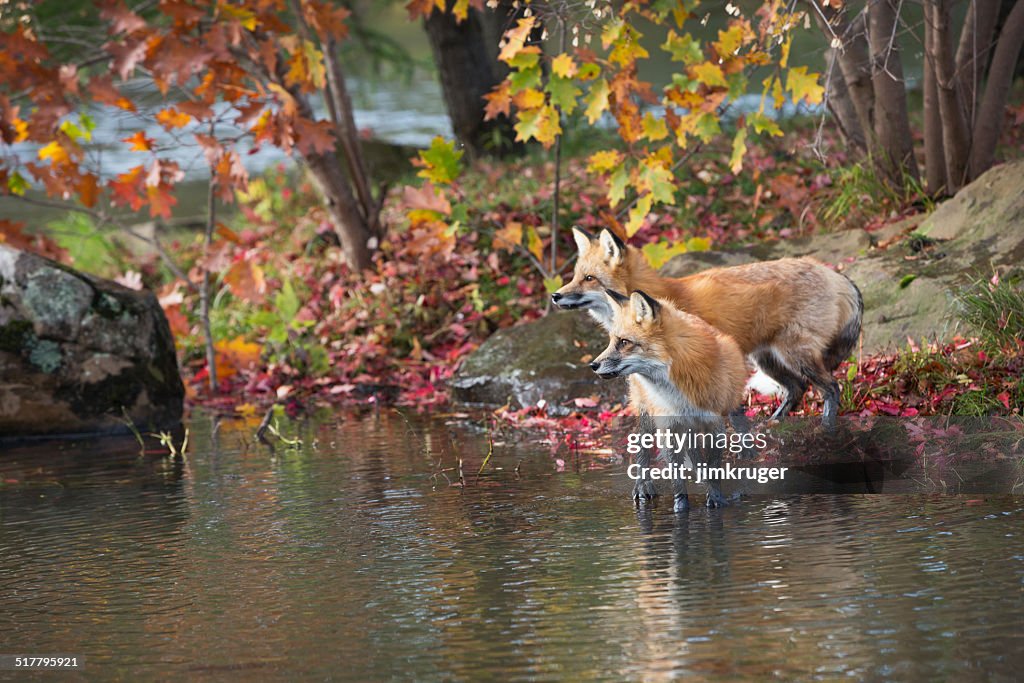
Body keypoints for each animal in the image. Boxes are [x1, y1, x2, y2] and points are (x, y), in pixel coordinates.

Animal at [557, 227, 860, 423]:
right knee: (797, 388)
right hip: (767, 358)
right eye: (574, 276)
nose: (555, 295)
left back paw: (827, 426)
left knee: (830, 387)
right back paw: (774, 422)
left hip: (795, 354)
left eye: (588, 278)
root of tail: (831, 271)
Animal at [589, 290, 749, 511]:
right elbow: (677, 477)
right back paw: (642, 486)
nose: (592, 365)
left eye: (624, 342)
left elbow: (713, 467)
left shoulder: (713, 423)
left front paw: (715, 498)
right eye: (613, 341)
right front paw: (681, 508)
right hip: (647, 416)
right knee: (643, 451)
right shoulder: (669, 426)